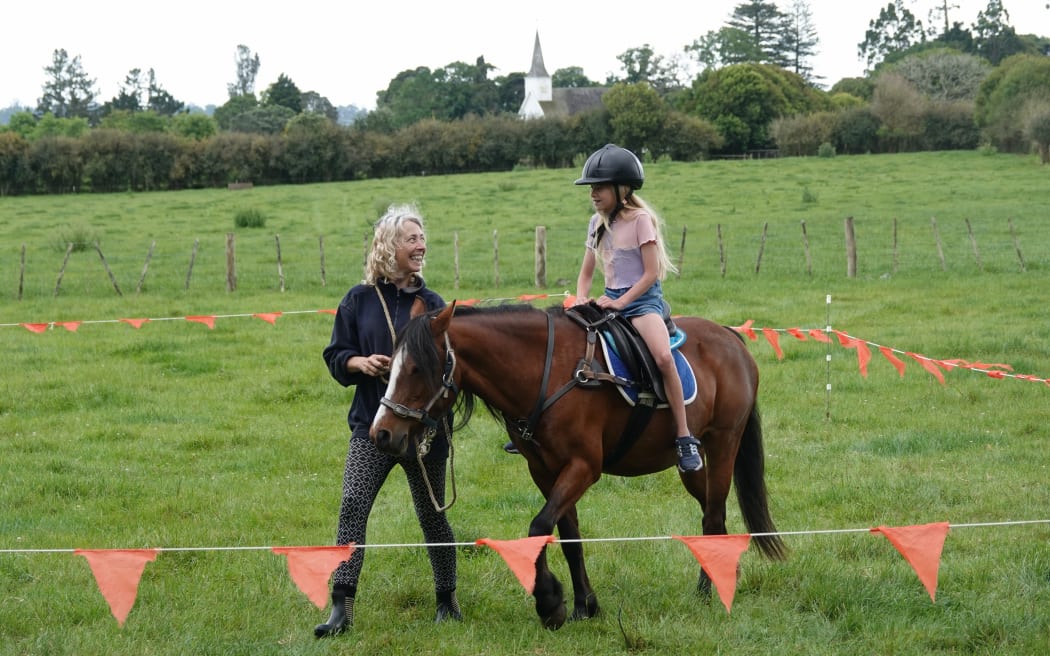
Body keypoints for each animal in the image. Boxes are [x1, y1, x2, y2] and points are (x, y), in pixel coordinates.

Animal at [370, 301, 786, 629]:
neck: (547, 371)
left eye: (417, 369)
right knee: (713, 517)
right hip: (694, 467)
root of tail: (730, 338)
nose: (383, 433)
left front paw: (549, 601)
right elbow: (569, 537)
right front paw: (585, 605)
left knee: (714, 518)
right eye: (390, 368)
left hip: (723, 445)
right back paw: (720, 577)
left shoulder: (583, 467)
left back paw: (707, 593)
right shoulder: (544, 470)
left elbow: (539, 526)